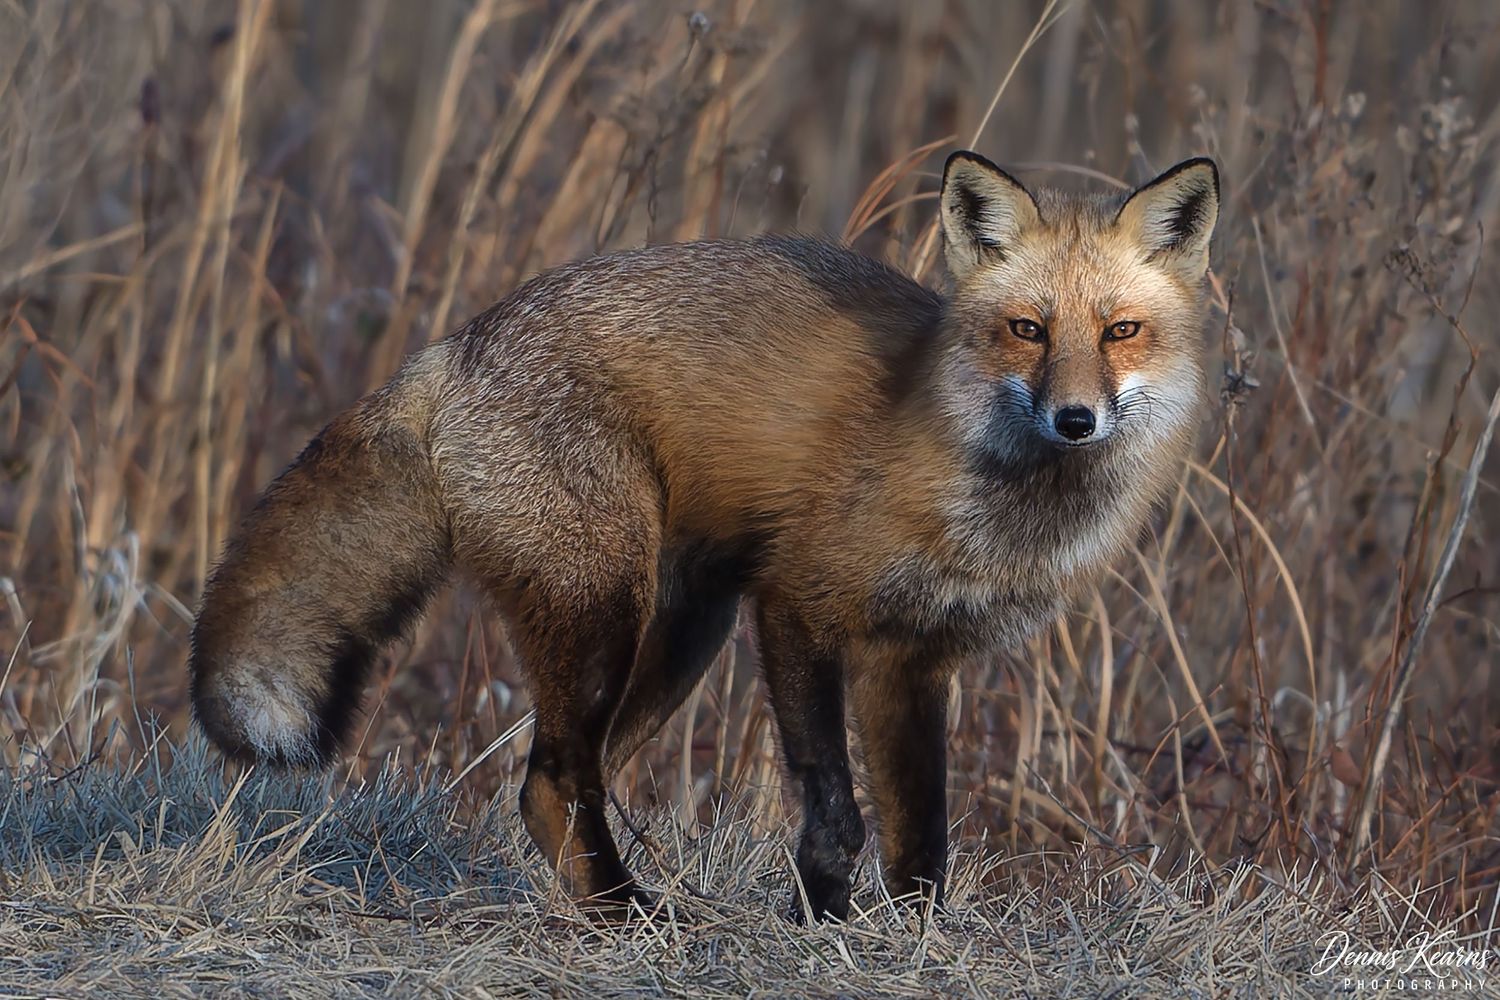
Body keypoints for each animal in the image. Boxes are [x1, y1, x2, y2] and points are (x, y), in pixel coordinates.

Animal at [189, 150, 1219, 920]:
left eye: (1121, 331)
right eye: (1027, 330)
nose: (1076, 419)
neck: (989, 495)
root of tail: (459, 346)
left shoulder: (913, 657)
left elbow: (922, 838)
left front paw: (909, 940)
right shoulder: (797, 605)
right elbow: (836, 812)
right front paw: (820, 921)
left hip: (683, 631)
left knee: (553, 782)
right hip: (609, 610)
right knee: (555, 778)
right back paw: (628, 917)